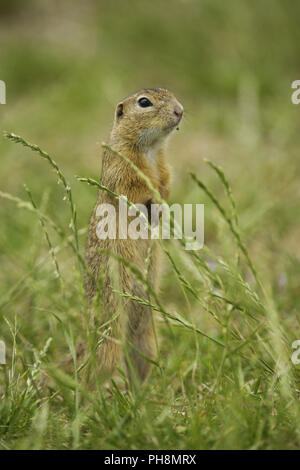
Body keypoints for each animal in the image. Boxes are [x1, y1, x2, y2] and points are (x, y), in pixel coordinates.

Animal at [84, 89, 183, 386]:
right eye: (144, 102)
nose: (180, 110)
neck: (150, 149)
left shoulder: (164, 167)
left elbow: (166, 183)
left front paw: (163, 206)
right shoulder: (122, 168)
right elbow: (135, 190)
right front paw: (154, 206)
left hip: (146, 341)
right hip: (110, 335)